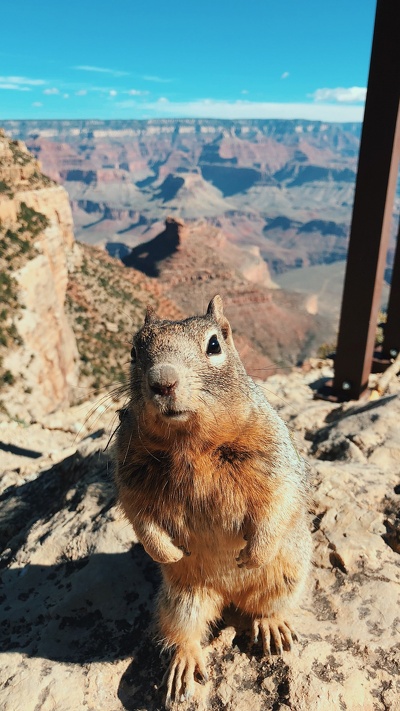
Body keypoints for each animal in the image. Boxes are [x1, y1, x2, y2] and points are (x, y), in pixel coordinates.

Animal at [115, 294, 312, 708]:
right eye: (134, 351)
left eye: (214, 345)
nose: (162, 382)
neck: (191, 445)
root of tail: (229, 595)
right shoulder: (129, 469)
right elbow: (140, 516)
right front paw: (168, 552)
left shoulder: (273, 452)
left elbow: (279, 498)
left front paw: (253, 552)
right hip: (180, 599)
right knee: (182, 631)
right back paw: (184, 664)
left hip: (288, 576)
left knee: (266, 607)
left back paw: (272, 627)